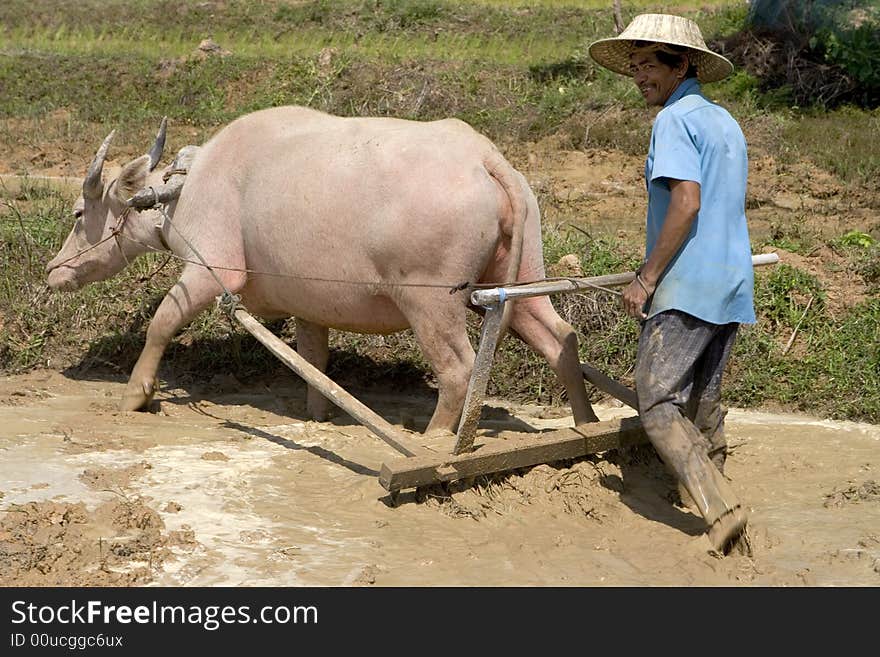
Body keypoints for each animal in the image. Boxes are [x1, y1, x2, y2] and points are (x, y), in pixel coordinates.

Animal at [46, 107, 600, 434]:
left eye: (77, 213)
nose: (54, 271)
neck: (180, 191)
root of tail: (485, 159)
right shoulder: (307, 303)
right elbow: (313, 356)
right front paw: (320, 413)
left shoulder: (211, 271)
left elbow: (161, 322)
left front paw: (136, 394)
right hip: (520, 279)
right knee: (560, 339)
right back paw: (585, 421)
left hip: (430, 300)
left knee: (458, 369)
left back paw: (435, 441)